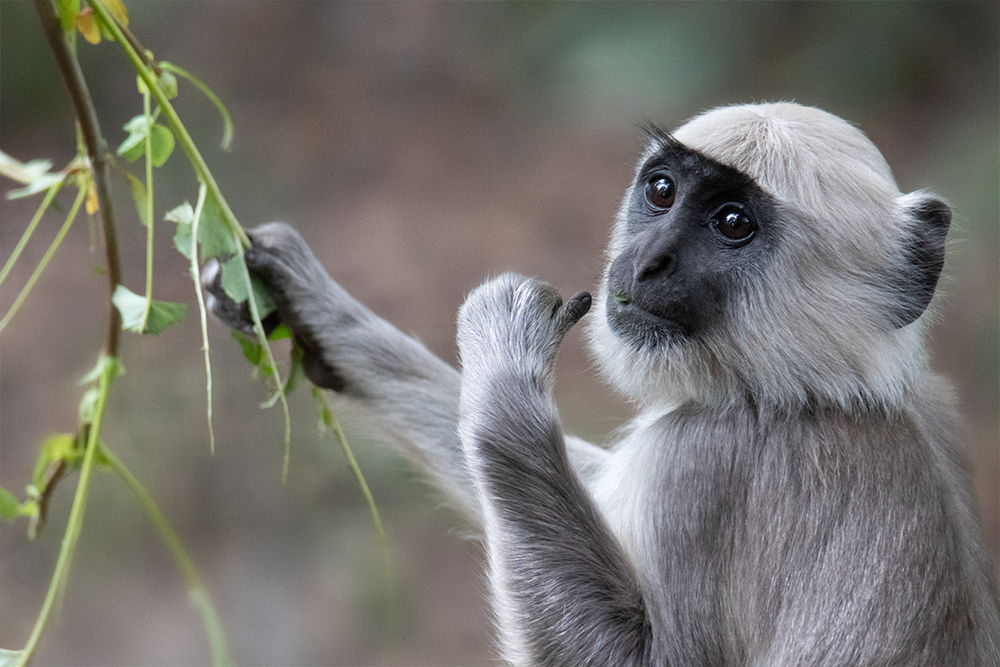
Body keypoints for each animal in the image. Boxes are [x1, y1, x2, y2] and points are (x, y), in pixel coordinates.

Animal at [205, 102, 1000, 664]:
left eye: (732, 222)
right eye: (662, 190)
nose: (646, 261)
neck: (809, 392)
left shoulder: (707, 468)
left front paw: (505, 363)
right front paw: (315, 308)